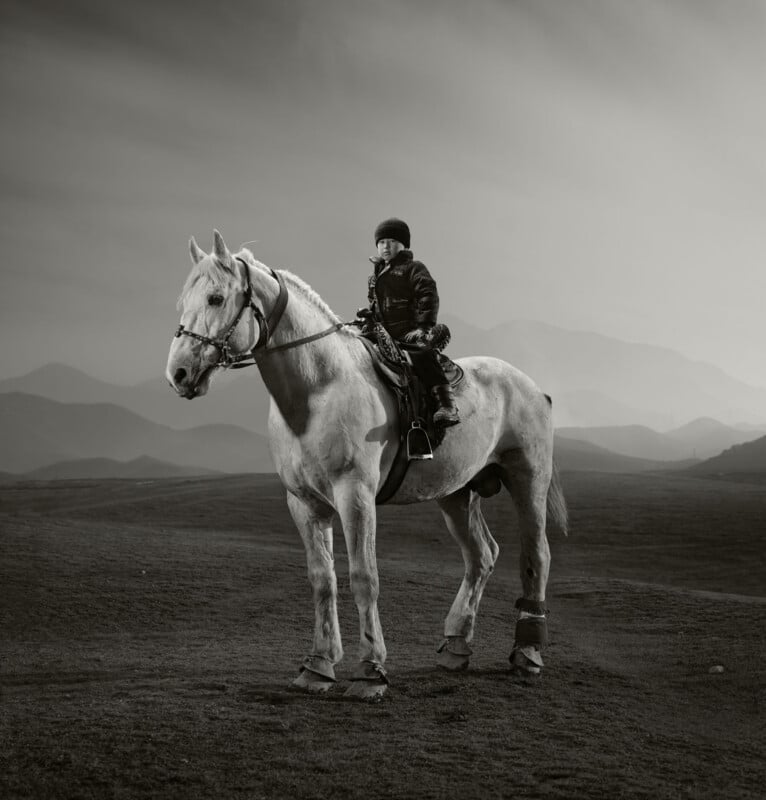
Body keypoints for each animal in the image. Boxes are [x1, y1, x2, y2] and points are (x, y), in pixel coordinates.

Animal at [166, 230, 568, 700]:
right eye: (184, 300)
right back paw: (455, 647)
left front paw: (370, 671)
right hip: (457, 494)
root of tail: (533, 387)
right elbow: (322, 579)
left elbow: (364, 576)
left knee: (535, 556)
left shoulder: (354, 495)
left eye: (215, 298)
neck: (319, 388)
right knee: (481, 556)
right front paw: (318, 666)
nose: (178, 373)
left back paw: (528, 653)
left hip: (528, 480)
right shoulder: (304, 504)